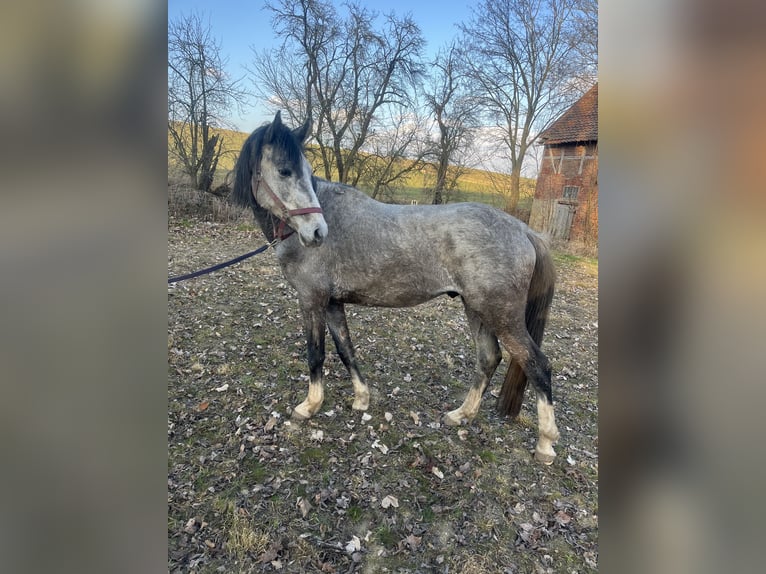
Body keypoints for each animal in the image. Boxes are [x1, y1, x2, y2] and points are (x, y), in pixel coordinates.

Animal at [231, 111, 560, 464]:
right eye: (285, 171)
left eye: (301, 171)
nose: (317, 232)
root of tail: (524, 230)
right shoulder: (332, 303)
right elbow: (346, 349)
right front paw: (361, 399)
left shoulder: (312, 300)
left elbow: (316, 354)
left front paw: (309, 407)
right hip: (476, 308)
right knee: (488, 359)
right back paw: (460, 415)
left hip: (502, 314)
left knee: (538, 366)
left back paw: (545, 444)